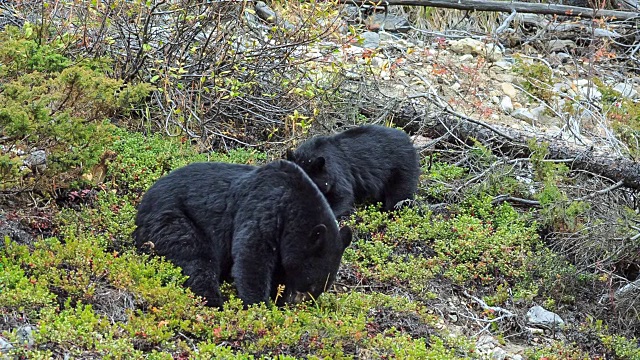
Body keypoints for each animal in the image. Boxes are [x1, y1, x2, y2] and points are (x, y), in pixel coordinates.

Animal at [133, 162, 352, 308]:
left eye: (319, 289)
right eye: (311, 284)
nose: (293, 303)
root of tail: (142, 205)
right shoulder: (265, 209)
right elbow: (252, 257)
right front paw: (260, 305)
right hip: (173, 219)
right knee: (195, 258)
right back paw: (214, 301)